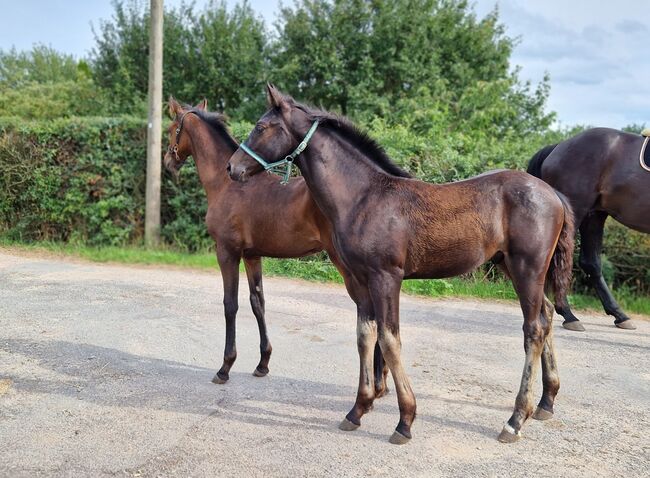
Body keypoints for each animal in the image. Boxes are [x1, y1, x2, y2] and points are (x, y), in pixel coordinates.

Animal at [162, 98, 388, 396]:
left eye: (171, 129)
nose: (167, 162)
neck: (224, 185)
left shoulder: (227, 252)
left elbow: (230, 305)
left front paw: (225, 367)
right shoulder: (252, 256)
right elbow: (258, 303)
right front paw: (263, 363)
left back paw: (378, 381)